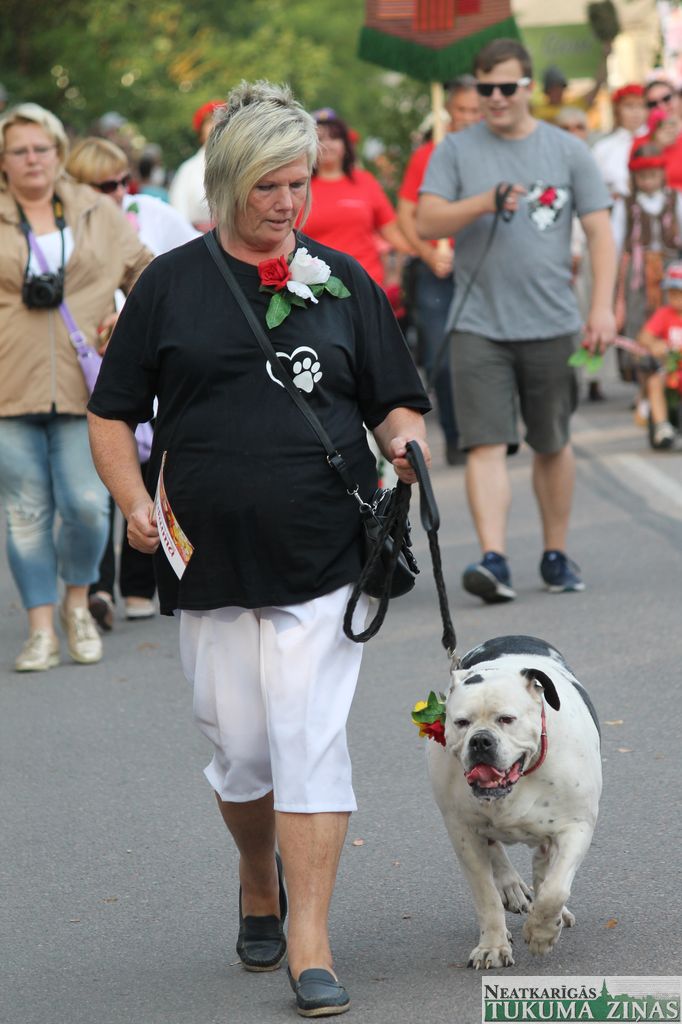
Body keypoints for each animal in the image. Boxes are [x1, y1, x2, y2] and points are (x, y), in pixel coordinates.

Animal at [427, 635, 602, 969]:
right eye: (461, 722)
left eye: (507, 719)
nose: (481, 740)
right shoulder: (463, 832)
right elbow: (486, 895)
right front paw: (492, 946)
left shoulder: (575, 827)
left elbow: (555, 889)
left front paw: (541, 932)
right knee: (499, 853)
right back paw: (513, 888)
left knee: (545, 868)